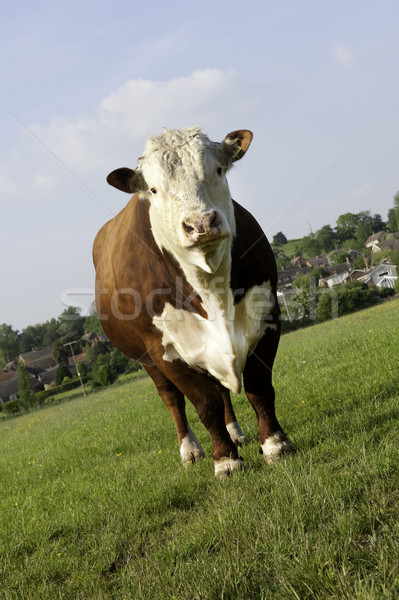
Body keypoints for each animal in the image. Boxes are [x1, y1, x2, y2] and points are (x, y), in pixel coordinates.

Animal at [93, 127, 294, 478]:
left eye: (218, 170)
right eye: (154, 189)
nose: (201, 224)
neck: (210, 285)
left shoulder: (267, 316)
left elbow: (258, 387)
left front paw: (275, 444)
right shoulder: (163, 350)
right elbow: (204, 404)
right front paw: (225, 461)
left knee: (223, 388)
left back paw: (236, 433)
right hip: (148, 361)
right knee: (173, 400)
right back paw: (190, 450)